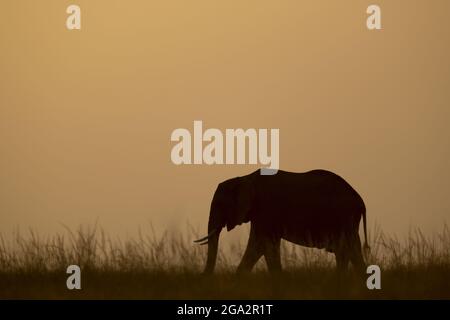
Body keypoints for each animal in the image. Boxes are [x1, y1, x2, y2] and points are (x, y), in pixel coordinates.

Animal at [194, 169, 370, 274]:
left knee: (347, 249)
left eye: (219, 204)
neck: (244, 178)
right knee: (348, 251)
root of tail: (360, 200)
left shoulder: (266, 210)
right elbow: (259, 246)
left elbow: (264, 245)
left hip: (344, 217)